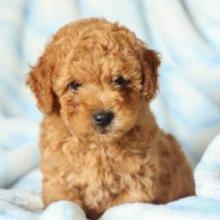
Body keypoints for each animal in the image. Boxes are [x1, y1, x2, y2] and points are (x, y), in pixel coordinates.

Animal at [27, 18, 194, 219]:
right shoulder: (59, 181)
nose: (103, 117)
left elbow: (118, 208)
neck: (99, 147)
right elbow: (65, 202)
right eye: (74, 85)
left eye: (119, 80)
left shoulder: (137, 184)